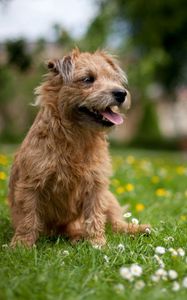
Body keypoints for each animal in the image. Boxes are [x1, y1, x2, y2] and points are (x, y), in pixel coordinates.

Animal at [8, 48, 150, 246]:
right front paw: (22, 245)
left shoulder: (96, 186)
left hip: (109, 197)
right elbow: (28, 216)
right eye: (88, 79)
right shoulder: (31, 185)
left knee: (115, 223)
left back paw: (138, 229)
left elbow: (96, 215)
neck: (77, 137)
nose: (121, 93)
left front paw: (98, 243)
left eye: (114, 79)